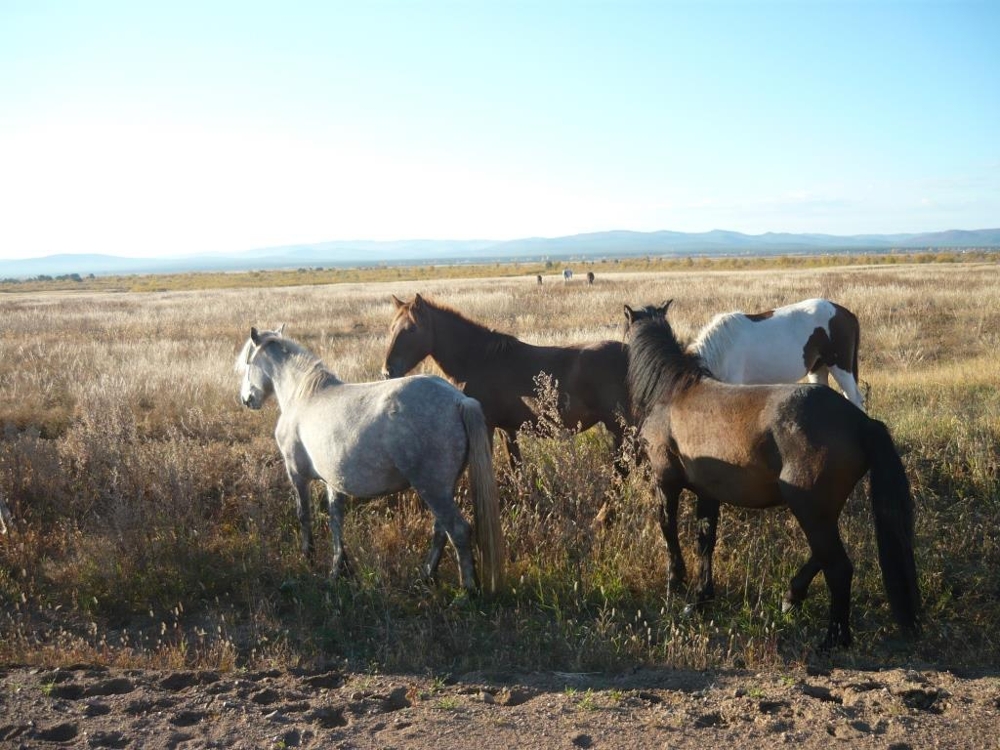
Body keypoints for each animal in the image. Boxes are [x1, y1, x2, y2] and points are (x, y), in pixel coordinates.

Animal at [233, 326, 500, 596]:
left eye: (248, 362)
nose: (246, 399)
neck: (304, 396)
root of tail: (458, 400)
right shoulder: (333, 482)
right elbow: (336, 521)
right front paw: (339, 568)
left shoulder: (297, 475)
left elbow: (304, 515)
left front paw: (308, 558)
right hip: (443, 489)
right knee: (441, 530)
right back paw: (426, 576)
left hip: (432, 489)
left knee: (458, 530)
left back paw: (467, 591)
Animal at [378, 296, 628, 468]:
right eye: (391, 328)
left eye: (412, 329)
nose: (387, 371)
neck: (478, 360)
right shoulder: (507, 428)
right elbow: (516, 467)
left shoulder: (486, 425)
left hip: (620, 428)